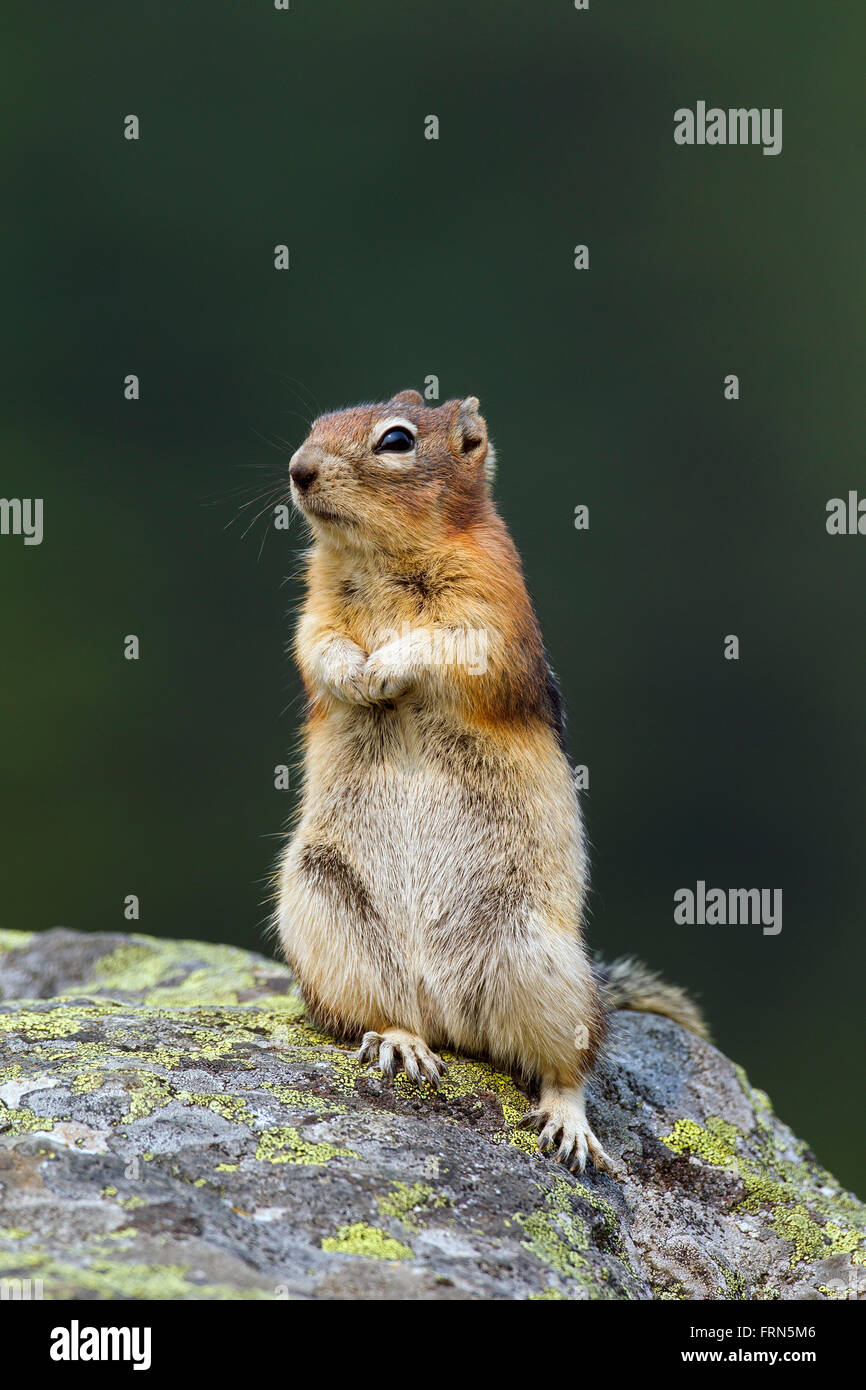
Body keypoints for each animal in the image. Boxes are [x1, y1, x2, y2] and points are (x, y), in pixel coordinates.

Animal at [273, 391, 708, 1173]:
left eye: (396, 441)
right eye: (318, 423)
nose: (299, 469)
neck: (378, 557)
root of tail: (448, 1014)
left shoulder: (492, 606)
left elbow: (449, 646)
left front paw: (386, 666)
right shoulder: (314, 609)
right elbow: (317, 646)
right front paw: (355, 674)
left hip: (540, 963)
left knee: (569, 1063)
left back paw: (569, 1124)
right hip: (325, 913)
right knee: (384, 1012)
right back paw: (401, 1044)